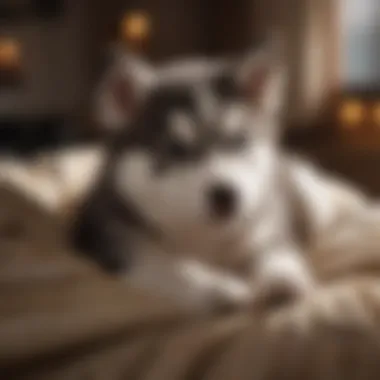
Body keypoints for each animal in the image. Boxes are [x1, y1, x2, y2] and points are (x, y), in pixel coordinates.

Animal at [72, 43, 318, 314]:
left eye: (237, 141)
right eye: (176, 149)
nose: (226, 195)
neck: (203, 233)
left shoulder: (269, 221)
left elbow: (277, 249)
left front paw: (281, 280)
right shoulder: (113, 237)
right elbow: (168, 267)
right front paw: (219, 289)